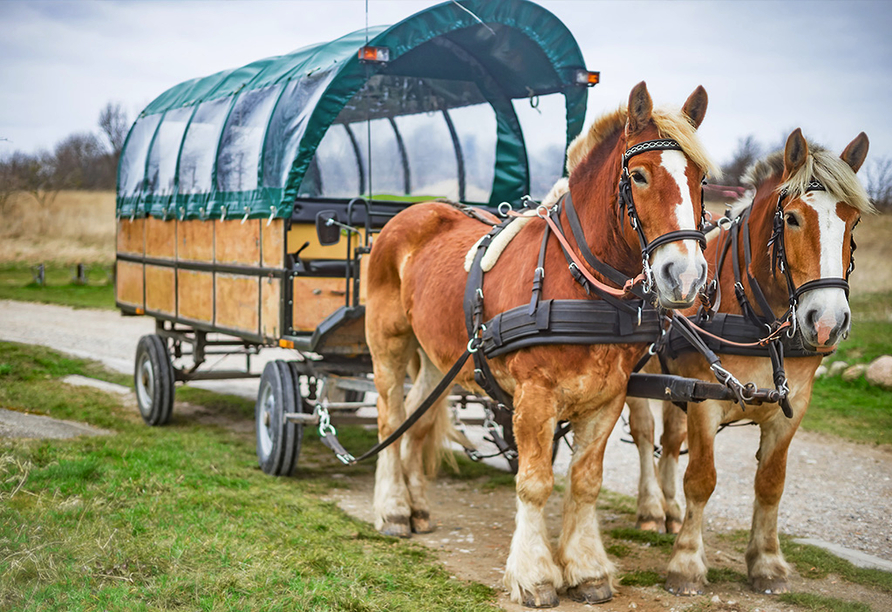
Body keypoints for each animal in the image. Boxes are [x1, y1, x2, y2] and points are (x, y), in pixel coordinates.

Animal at [362, 82, 716, 608]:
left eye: (700, 179)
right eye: (639, 176)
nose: (686, 276)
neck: (581, 285)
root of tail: (415, 210)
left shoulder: (606, 399)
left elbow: (585, 483)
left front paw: (587, 569)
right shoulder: (534, 398)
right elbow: (534, 483)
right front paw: (535, 574)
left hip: (438, 357)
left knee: (417, 420)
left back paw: (417, 507)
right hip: (388, 342)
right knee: (390, 417)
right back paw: (391, 509)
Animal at [624, 128, 868, 592]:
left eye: (852, 220)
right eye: (792, 219)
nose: (827, 321)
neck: (757, 320)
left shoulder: (793, 407)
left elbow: (771, 484)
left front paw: (767, 562)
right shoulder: (706, 400)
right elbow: (701, 479)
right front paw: (687, 562)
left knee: (670, 439)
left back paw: (669, 510)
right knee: (645, 436)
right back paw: (649, 509)